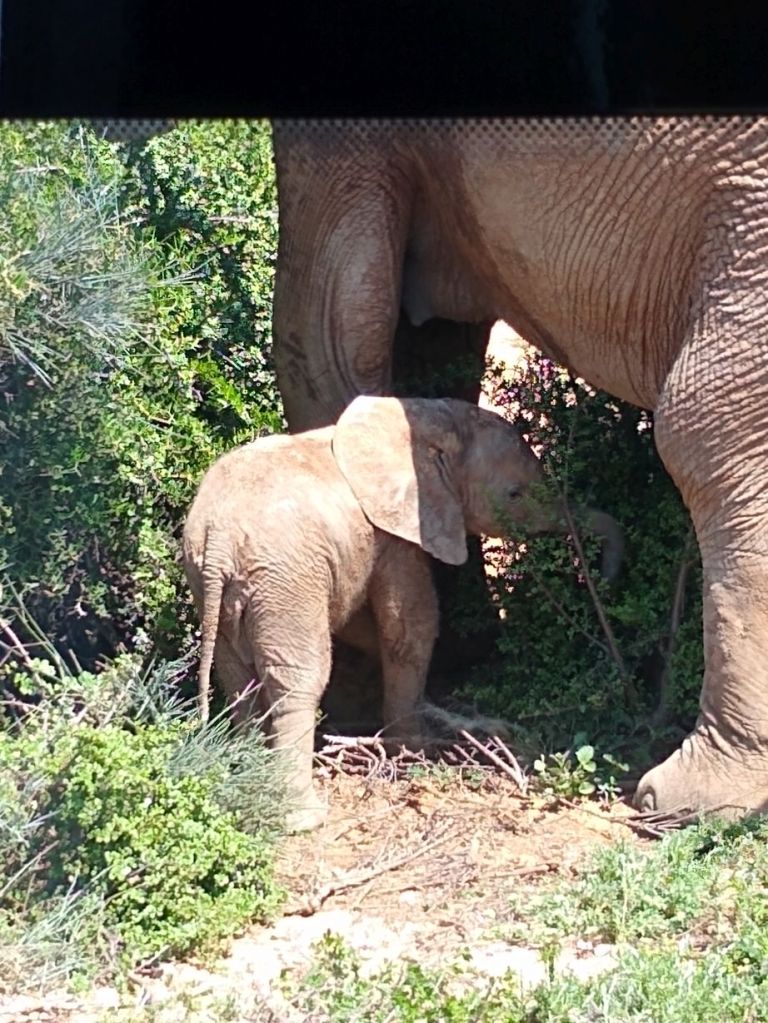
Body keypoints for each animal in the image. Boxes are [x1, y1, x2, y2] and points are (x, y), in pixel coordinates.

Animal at [182, 395, 623, 832]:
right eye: (515, 494)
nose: (602, 580)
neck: (426, 418)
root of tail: (218, 538)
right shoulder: (397, 534)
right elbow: (410, 625)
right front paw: (414, 748)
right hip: (284, 581)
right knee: (297, 680)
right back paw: (304, 818)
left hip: (215, 585)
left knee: (237, 679)